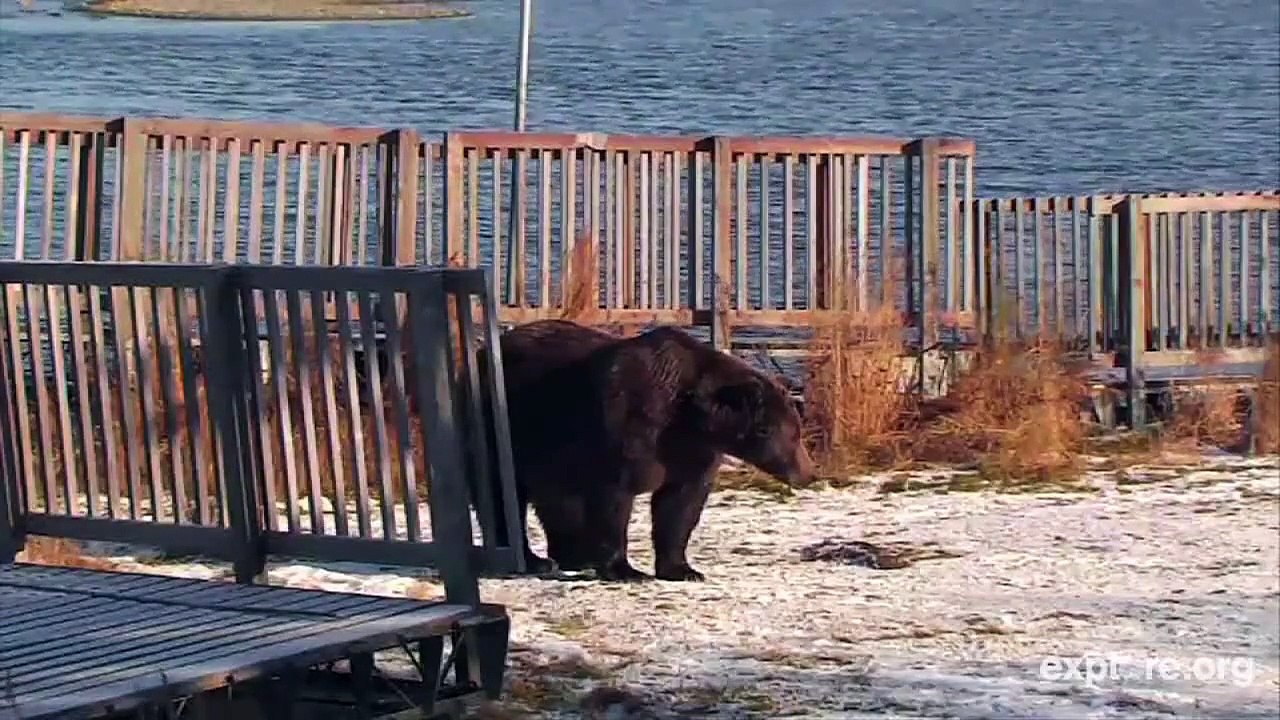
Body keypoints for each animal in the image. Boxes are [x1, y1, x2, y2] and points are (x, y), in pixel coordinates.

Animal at [502, 322, 817, 583]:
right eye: (778, 431)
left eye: (797, 431)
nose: (806, 473)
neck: (688, 418)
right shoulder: (627, 428)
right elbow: (614, 499)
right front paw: (625, 570)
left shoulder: (691, 453)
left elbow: (680, 505)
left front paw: (683, 569)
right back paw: (535, 560)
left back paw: (571, 556)